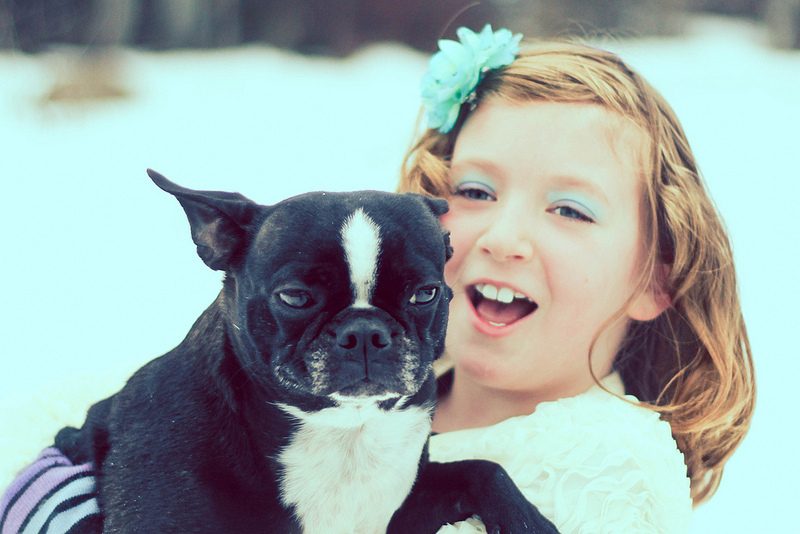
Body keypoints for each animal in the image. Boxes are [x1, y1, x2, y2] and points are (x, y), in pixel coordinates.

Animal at [51, 170, 558, 533]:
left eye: (425, 294)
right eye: (295, 297)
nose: (365, 332)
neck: (342, 429)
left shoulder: (405, 507)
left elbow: (483, 468)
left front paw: (528, 521)